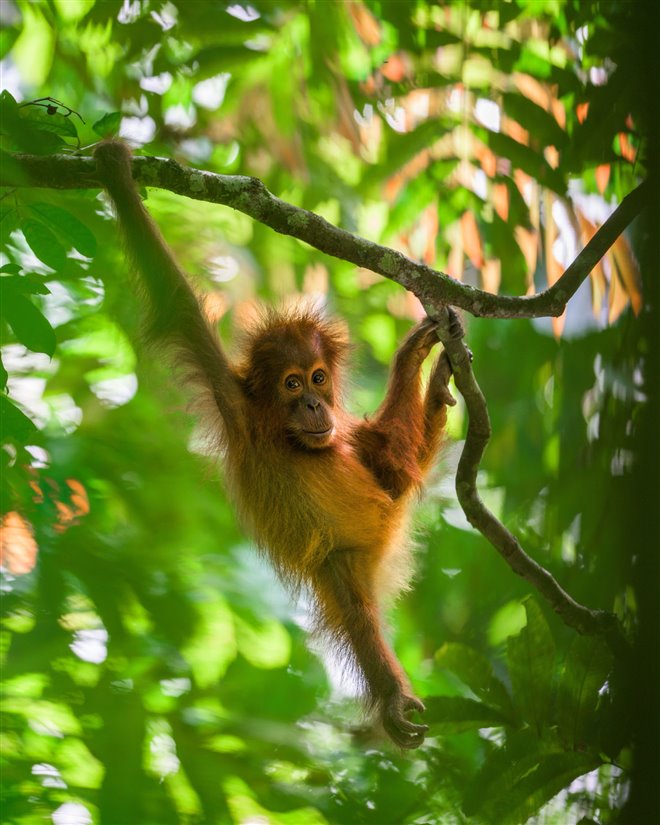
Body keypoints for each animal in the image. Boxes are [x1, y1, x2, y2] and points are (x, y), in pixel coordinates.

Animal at [94, 141, 463, 749]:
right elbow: (177, 304)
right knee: (358, 614)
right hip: (340, 563)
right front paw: (117, 173)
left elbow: (385, 463)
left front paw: (412, 357)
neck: (285, 434)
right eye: (292, 384)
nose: (314, 405)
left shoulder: (342, 435)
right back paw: (391, 698)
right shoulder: (234, 404)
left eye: (318, 377)